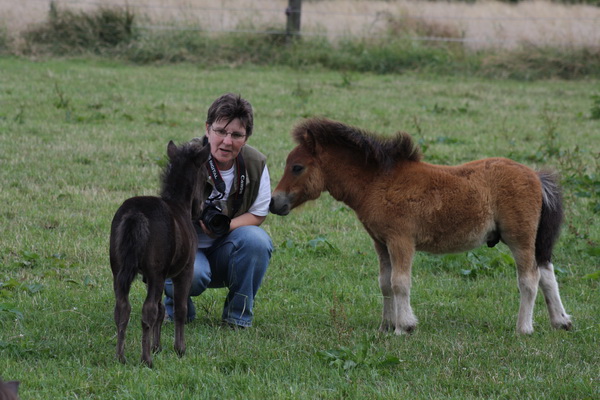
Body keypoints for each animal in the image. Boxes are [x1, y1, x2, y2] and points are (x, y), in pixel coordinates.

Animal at [270, 118, 572, 334]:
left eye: (297, 167)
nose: (274, 202)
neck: (378, 182)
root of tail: (535, 175)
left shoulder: (401, 240)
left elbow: (400, 282)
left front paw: (404, 327)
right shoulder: (380, 242)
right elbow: (385, 283)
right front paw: (385, 326)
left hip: (519, 236)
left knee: (529, 278)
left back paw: (524, 328)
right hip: (533, 239)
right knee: (546, 272)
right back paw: (560, 321)